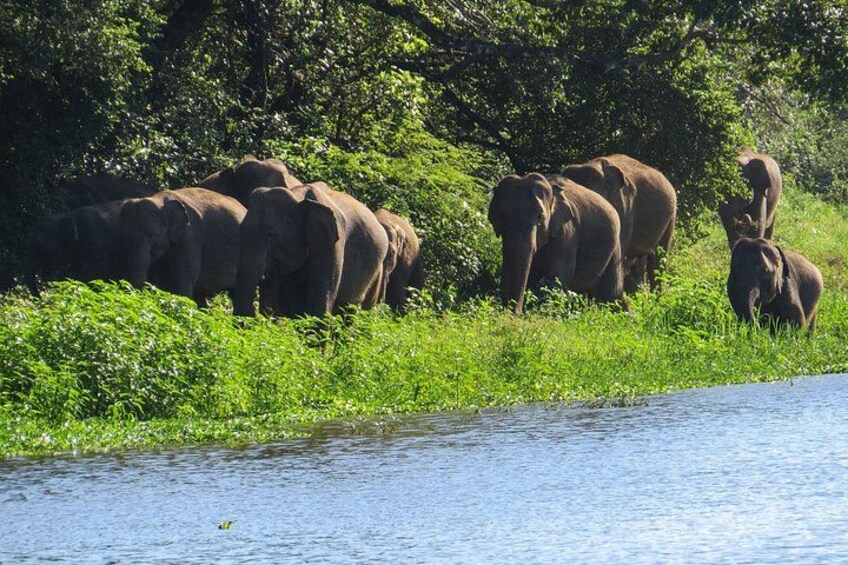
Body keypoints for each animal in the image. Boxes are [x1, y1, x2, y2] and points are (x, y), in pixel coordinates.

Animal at [488, 173, 628, 314]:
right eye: (501, 215)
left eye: (540, 216)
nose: (515, 313)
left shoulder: (566, 234)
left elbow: (555, 279)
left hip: (615, 246)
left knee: (613, 293)